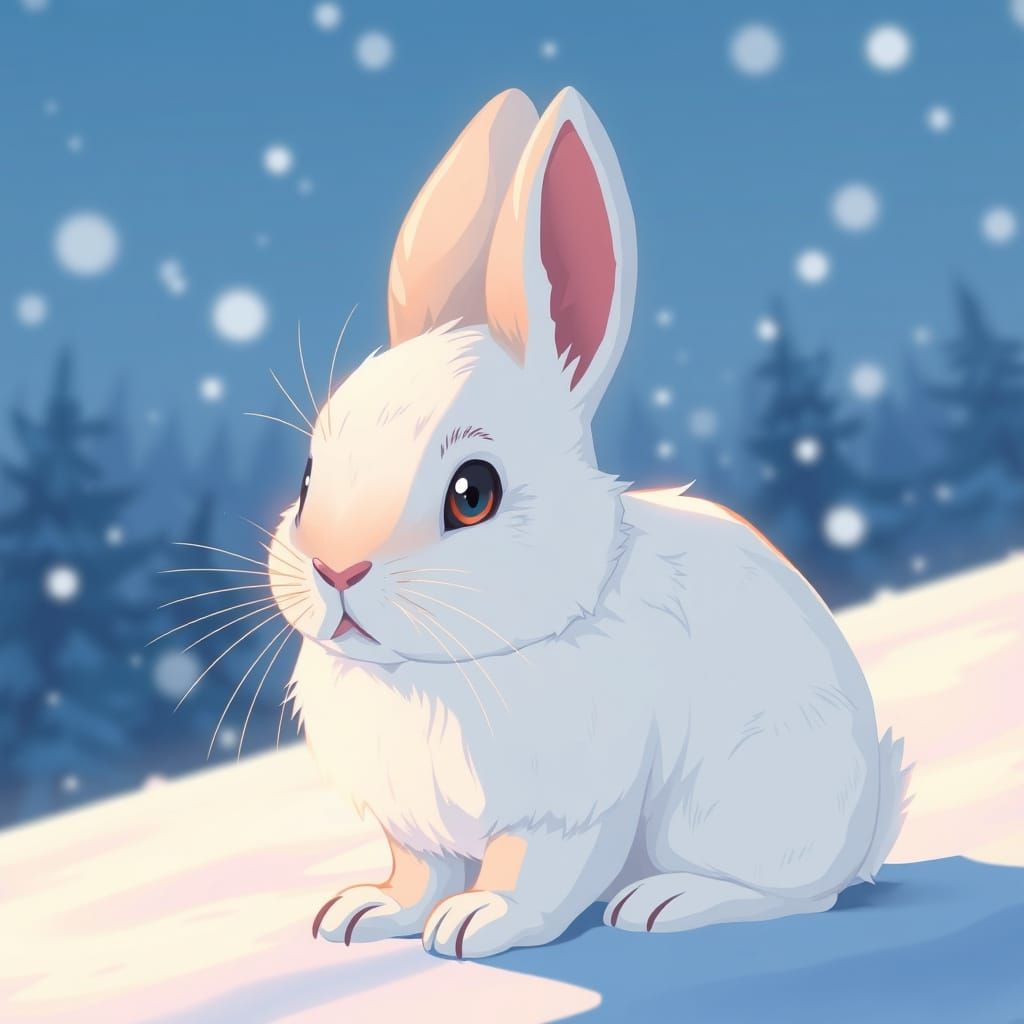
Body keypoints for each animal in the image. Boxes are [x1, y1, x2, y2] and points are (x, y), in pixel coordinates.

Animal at [265, 87, 909, 960]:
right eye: (306, 478)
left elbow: (531, 875)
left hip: (743, 806)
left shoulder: (568, 810)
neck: (442, 666)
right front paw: (364, 914)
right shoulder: (413, 824)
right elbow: (417, 872)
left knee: (799, 898)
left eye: (473, 493)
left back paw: (666, 901)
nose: (336, 569)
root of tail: (867, 826)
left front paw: (473, 924)